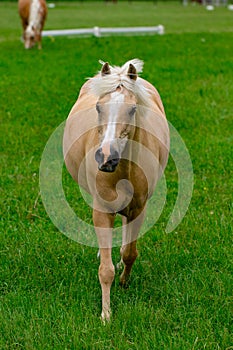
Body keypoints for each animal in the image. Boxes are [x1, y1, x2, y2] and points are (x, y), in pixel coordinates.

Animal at [62, 58, 170, 322]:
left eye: (132, 110)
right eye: (99, 107)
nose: (106, 157)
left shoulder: (139, 209)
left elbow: (130, 253)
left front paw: (124, 281)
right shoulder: (102, 210)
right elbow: (105, 270)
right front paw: (106, 315)